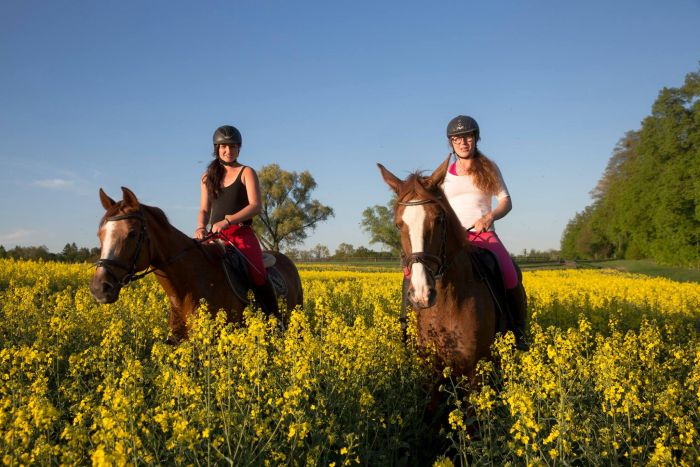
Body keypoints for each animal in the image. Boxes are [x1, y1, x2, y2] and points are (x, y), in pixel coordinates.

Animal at [378, 157, 516, 384]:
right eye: (398, 225)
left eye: (439, 219)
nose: (422, 294)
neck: (448, 302)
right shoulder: (431, 371)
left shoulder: (474, 371)